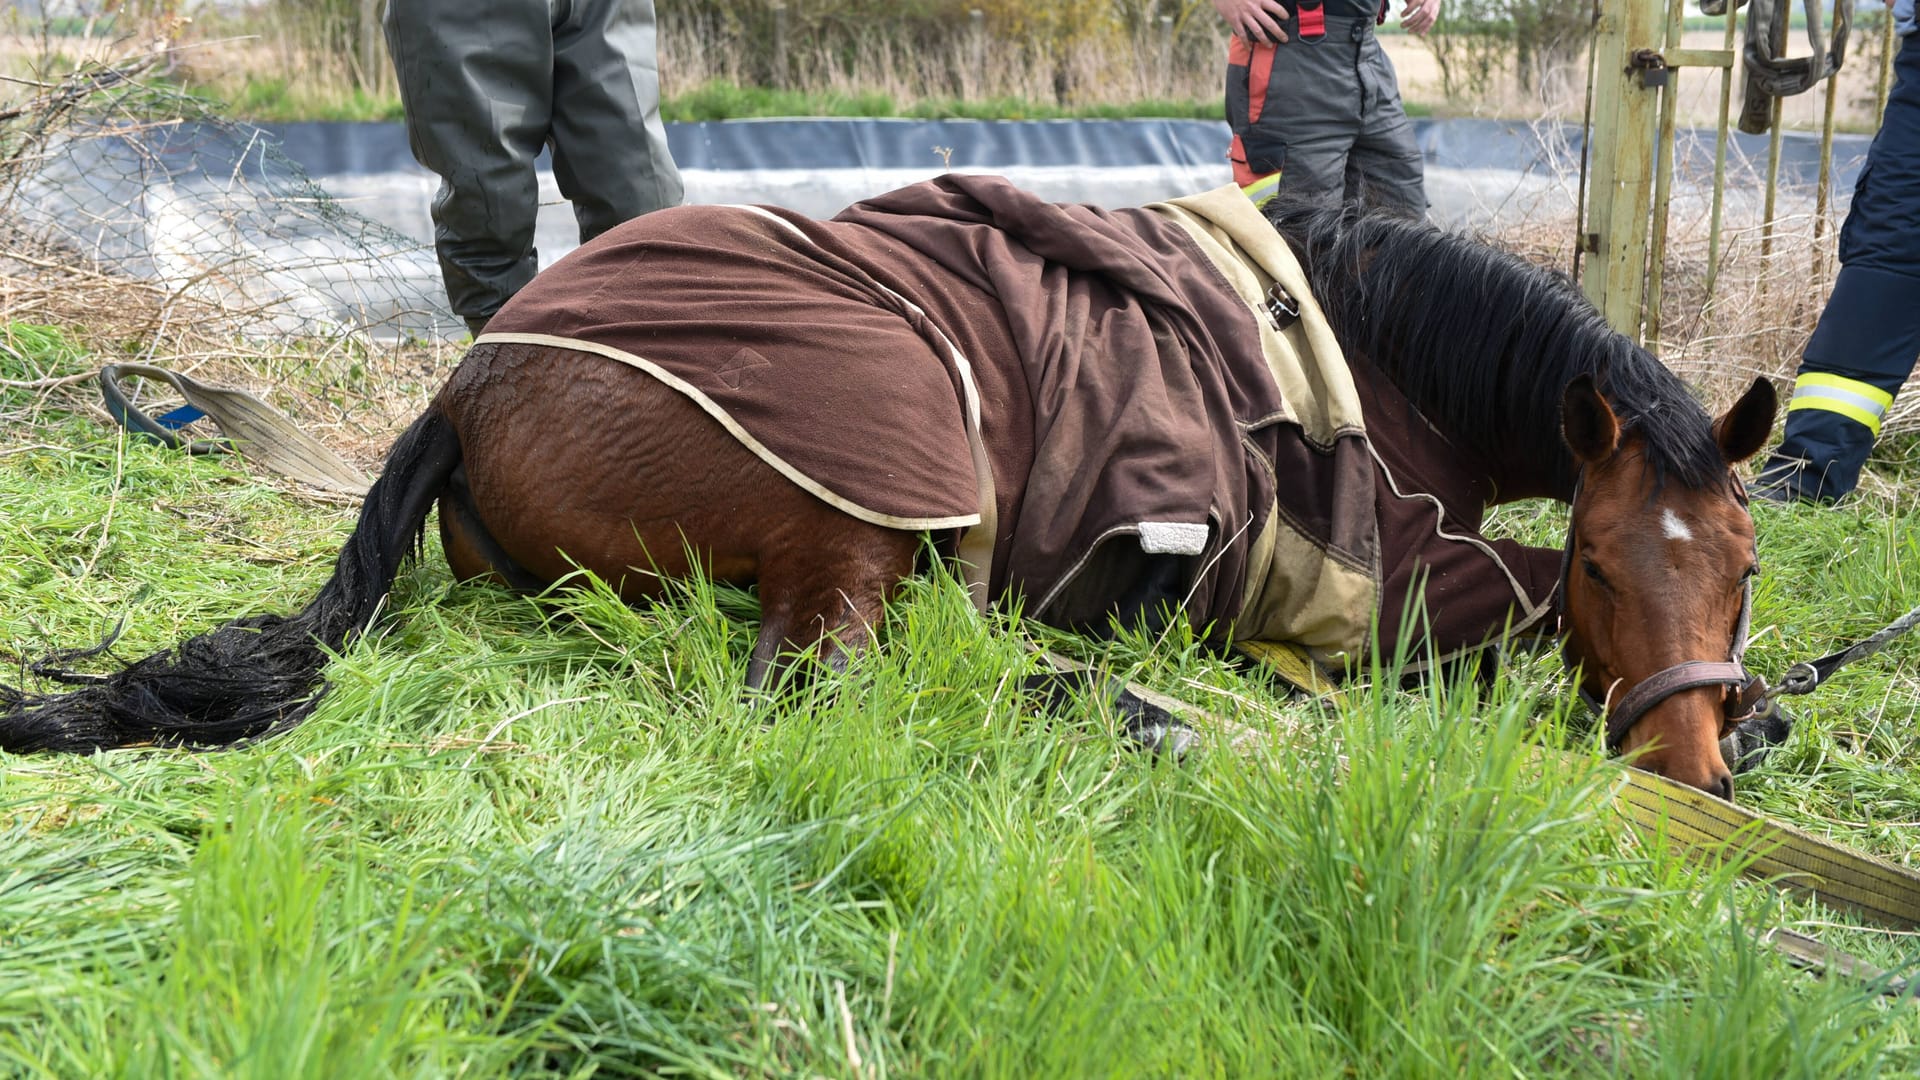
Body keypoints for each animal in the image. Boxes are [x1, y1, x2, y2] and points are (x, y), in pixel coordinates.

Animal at [0, 176, 1774, 795]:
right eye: (1606, 566)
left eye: (1746, 572)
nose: (1691, 773)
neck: (1344, 345)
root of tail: (470, 376)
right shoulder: (1341, 570)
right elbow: (1486, 607)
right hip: (877, 482)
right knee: (836, 681)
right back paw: (1135, 714)